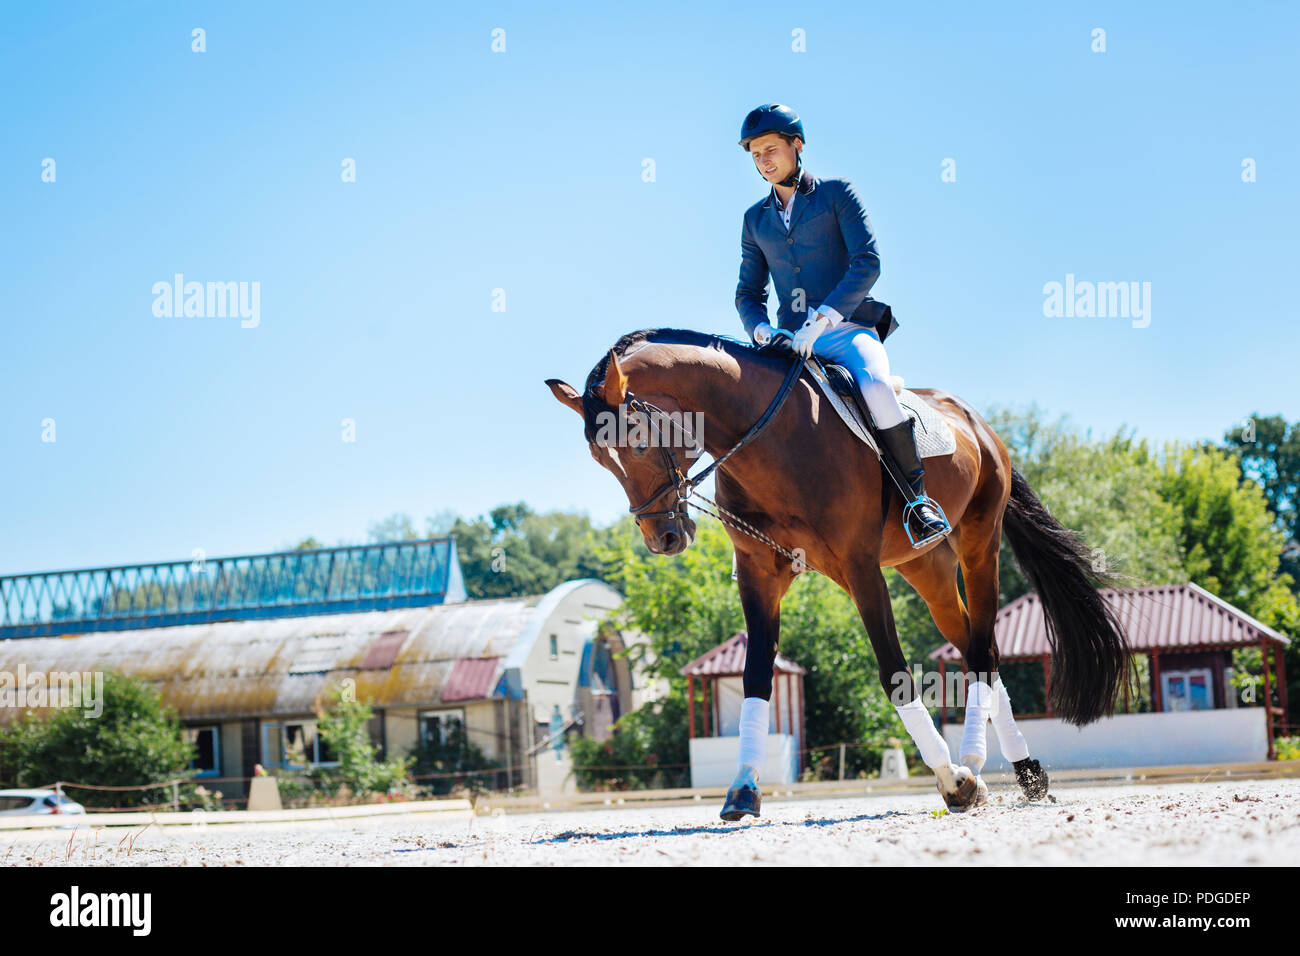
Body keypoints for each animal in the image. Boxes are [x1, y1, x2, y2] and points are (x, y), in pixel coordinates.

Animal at [545, 327, 1129, 814]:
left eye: (639, 439)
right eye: (600, 460)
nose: (663, 539)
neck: (770, 441)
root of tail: (978, 423)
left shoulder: (859, 567)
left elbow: (894, 673)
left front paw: (951, 782)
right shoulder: (759, 574)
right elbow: (756, 675)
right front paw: (743, 789)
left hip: (978, 543)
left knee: (984, 649)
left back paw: (981, 766)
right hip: (926, 567)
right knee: (974, 646)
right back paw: (1021, 772)